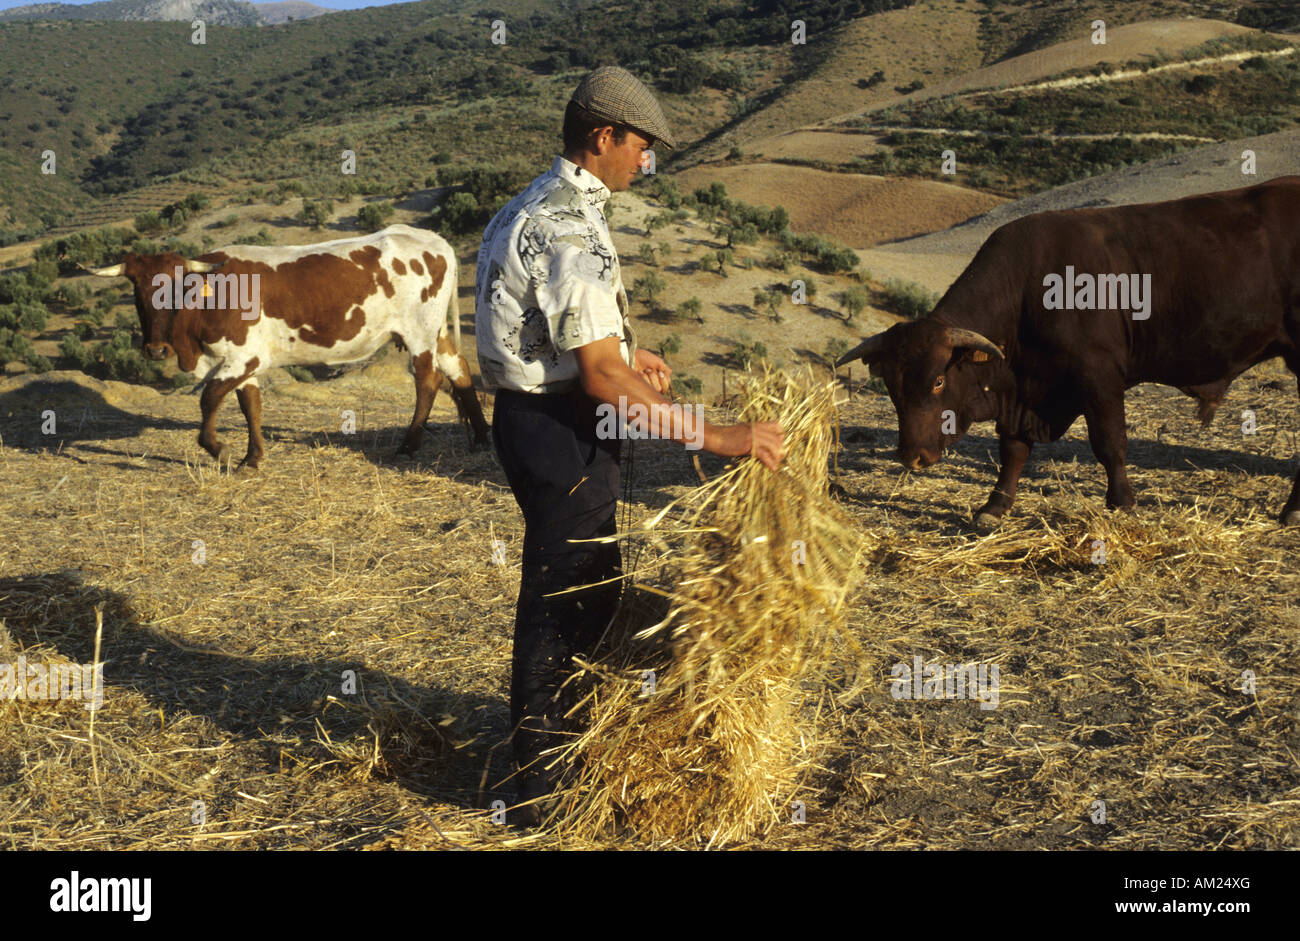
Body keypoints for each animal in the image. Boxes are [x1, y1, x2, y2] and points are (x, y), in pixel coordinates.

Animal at [82, 220, 488, 470]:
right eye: (136, 289)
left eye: (178, 285)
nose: (155, 350)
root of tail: (433, 240)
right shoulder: (240, 362)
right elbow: (250, 406)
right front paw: (252, 457)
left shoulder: (244, 357)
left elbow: (209, 399)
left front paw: (218, 448)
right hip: (436, 331)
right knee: (460, 370)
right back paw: (481, 436)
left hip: (419, 333)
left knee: (428, 381)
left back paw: (408, 445)